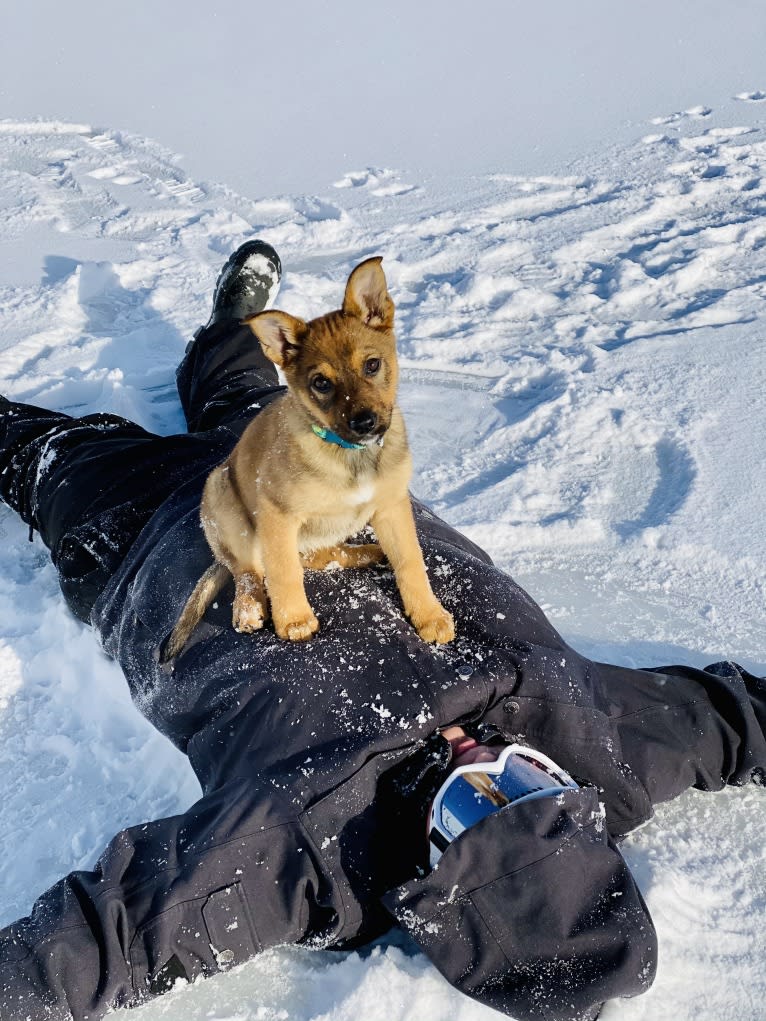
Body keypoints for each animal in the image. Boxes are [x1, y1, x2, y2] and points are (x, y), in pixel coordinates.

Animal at [165, 253, 455, 653]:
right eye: (321, 383)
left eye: (372, 365)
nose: (365, 423)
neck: (350, 455)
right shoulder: (277, 514)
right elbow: (283, 572)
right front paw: (294, 620)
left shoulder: (391, 506)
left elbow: (411, 561)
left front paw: (429, 615)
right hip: (222, 499)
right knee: (249, 569)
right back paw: (248, 607)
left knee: (314, 556)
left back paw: (366, 553)